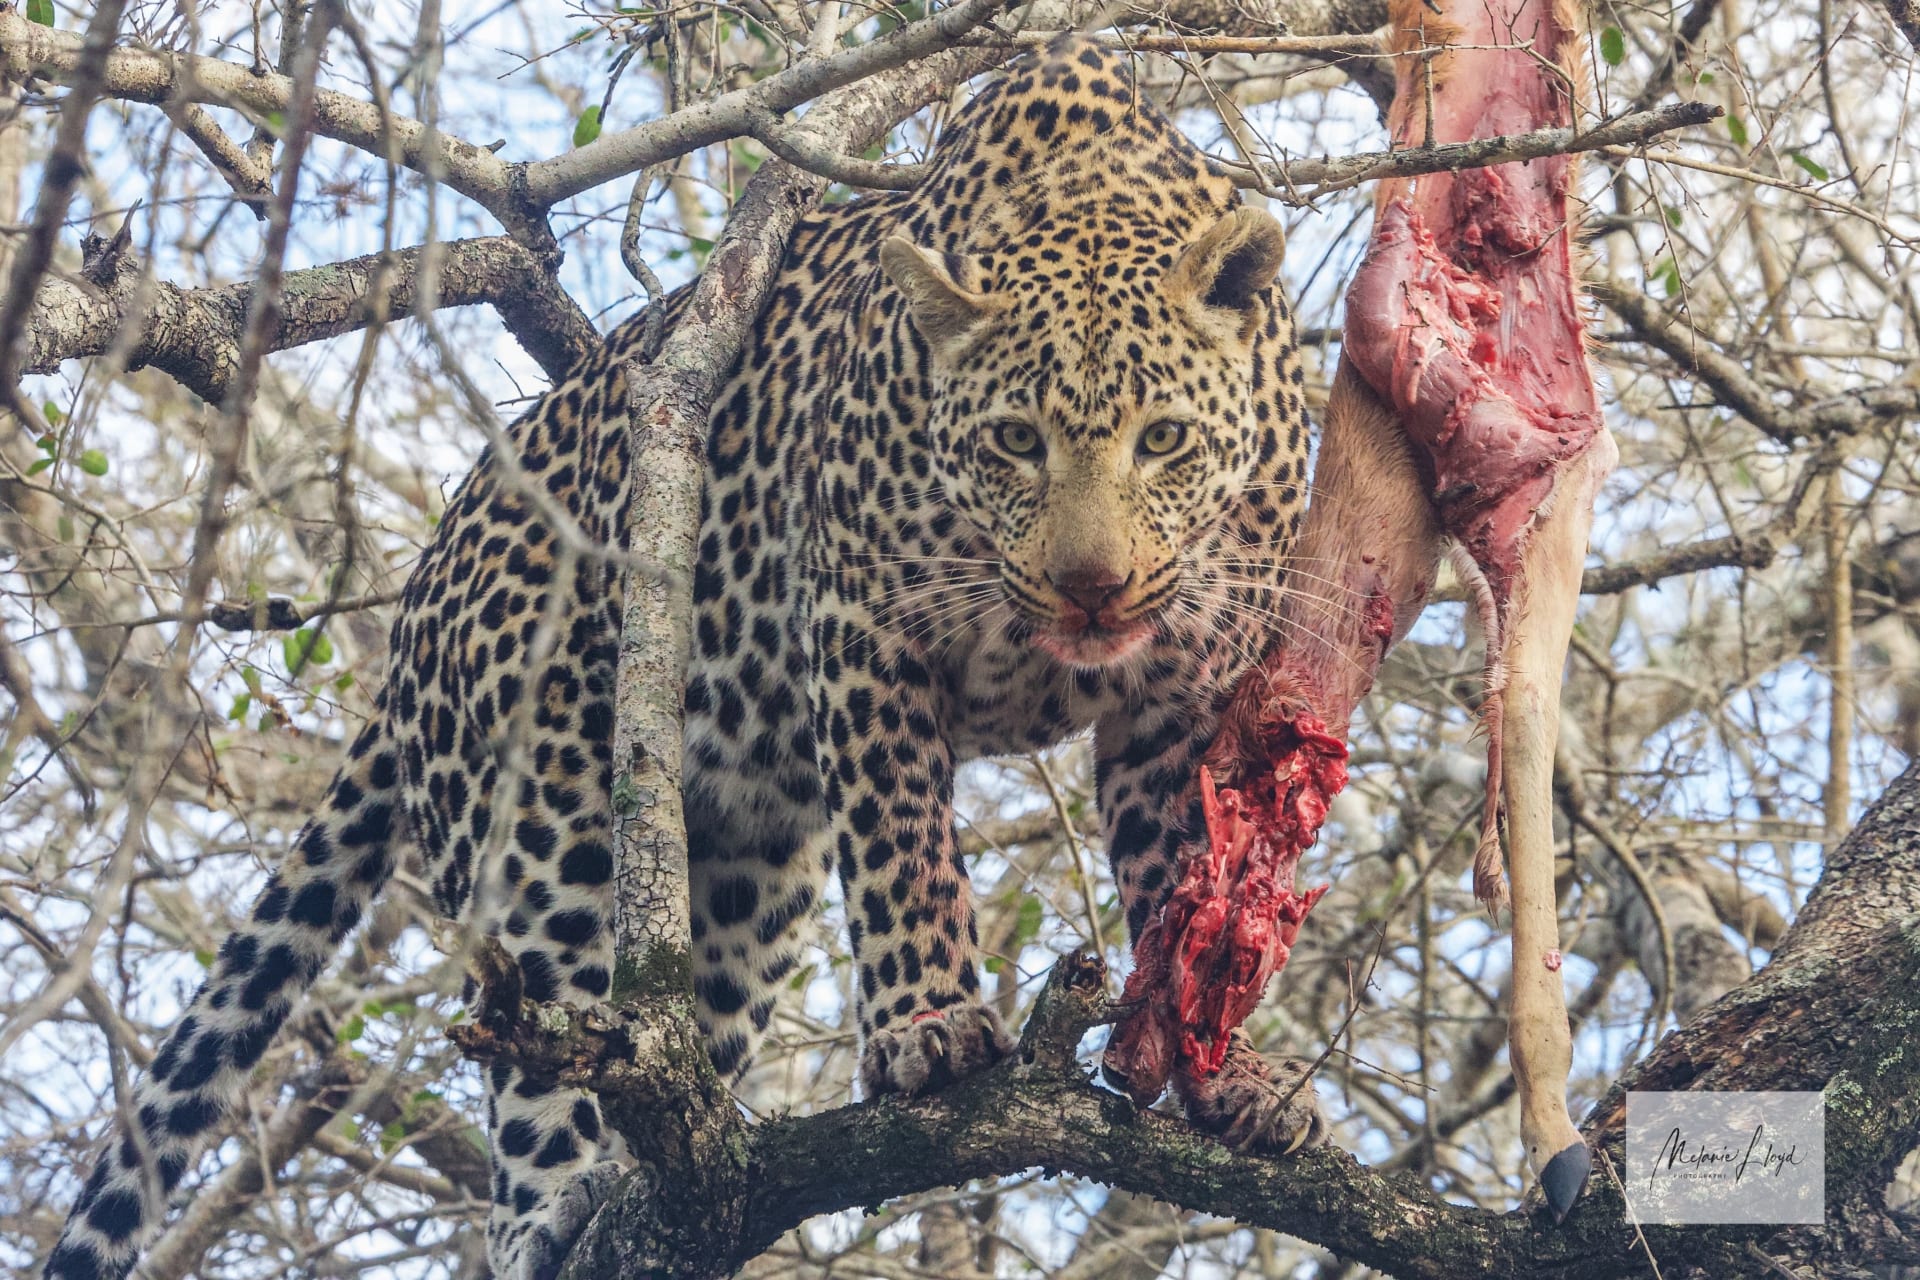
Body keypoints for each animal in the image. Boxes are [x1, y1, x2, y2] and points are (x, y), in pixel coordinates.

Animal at [45, 36, 1327, 1280]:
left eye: (1164, 439)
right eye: (1015, 440)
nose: (1090, 586)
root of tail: (414, 605)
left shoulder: (1186, 693)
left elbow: (1192, 879)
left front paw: (1225, 1075)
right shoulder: (860, 623)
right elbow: (903, 843)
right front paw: (930, 1030)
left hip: (749, 872)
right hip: (538, 825)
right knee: (551, 1057)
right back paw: (559, 1207)